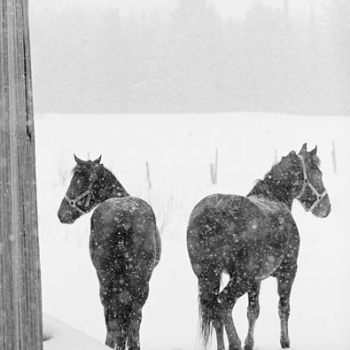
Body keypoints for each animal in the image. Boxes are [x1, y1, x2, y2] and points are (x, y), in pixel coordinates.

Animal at [57, 157, 161, 350]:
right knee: (132, 319)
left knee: (113, 317)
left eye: (76, 181)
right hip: (138, 281)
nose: (61, 214)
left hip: (107, 278)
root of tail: (124, 219)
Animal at [187, 144, 330, 350]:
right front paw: (285, 342)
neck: (273, 198)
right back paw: (235, 342)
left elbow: (253, 311)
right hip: (241, 278)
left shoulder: (257, 280)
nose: (327, 208)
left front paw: (250, 343)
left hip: (208, 275)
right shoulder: (288, 271)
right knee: (224, 304)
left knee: (215, 310)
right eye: (318, 173)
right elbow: (284, 308)